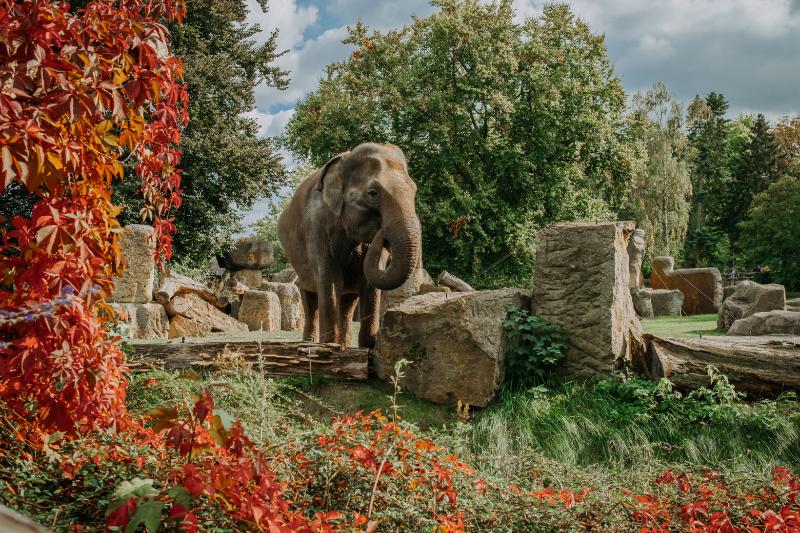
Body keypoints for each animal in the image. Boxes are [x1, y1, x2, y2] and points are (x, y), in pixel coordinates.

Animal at [276, 143, 422, 348]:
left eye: (414, 191)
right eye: (373, 193)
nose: (381, 231)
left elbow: (369, 283)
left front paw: (369, 345)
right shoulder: (317, 224)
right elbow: (329, 278)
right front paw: (328, 344)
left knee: (347, 302)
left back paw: (344, 343)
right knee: (309, 296)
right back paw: (311, 342)